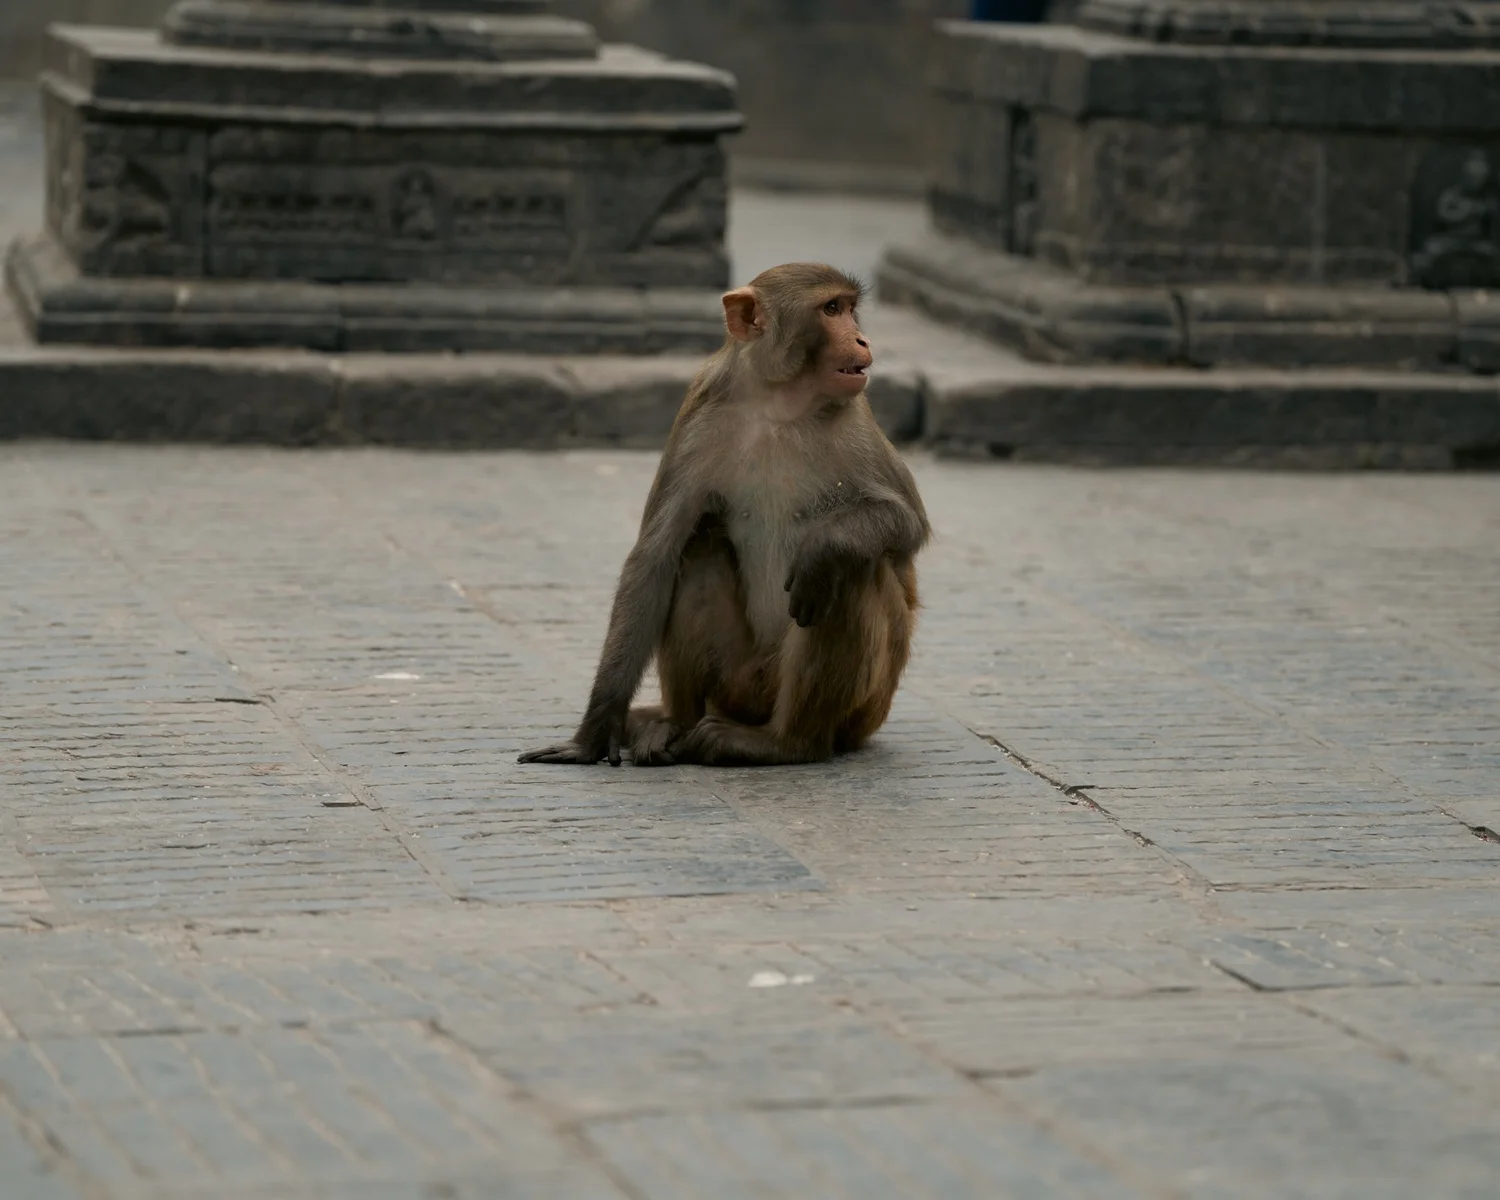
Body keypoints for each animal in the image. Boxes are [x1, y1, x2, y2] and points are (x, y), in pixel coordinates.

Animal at [518, 262, 930, 768]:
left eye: (850, 308)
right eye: (832, 309)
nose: (862, 339)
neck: (779, 404)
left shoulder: (856, 421)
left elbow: (907, 523)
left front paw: (825, 547)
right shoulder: (699, 418)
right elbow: (655, 557)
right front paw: (595, 732)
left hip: (861, 712)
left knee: (851, 571)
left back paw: (785, 742)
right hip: (736, 685)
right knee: (699, 547)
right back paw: (671, 726)